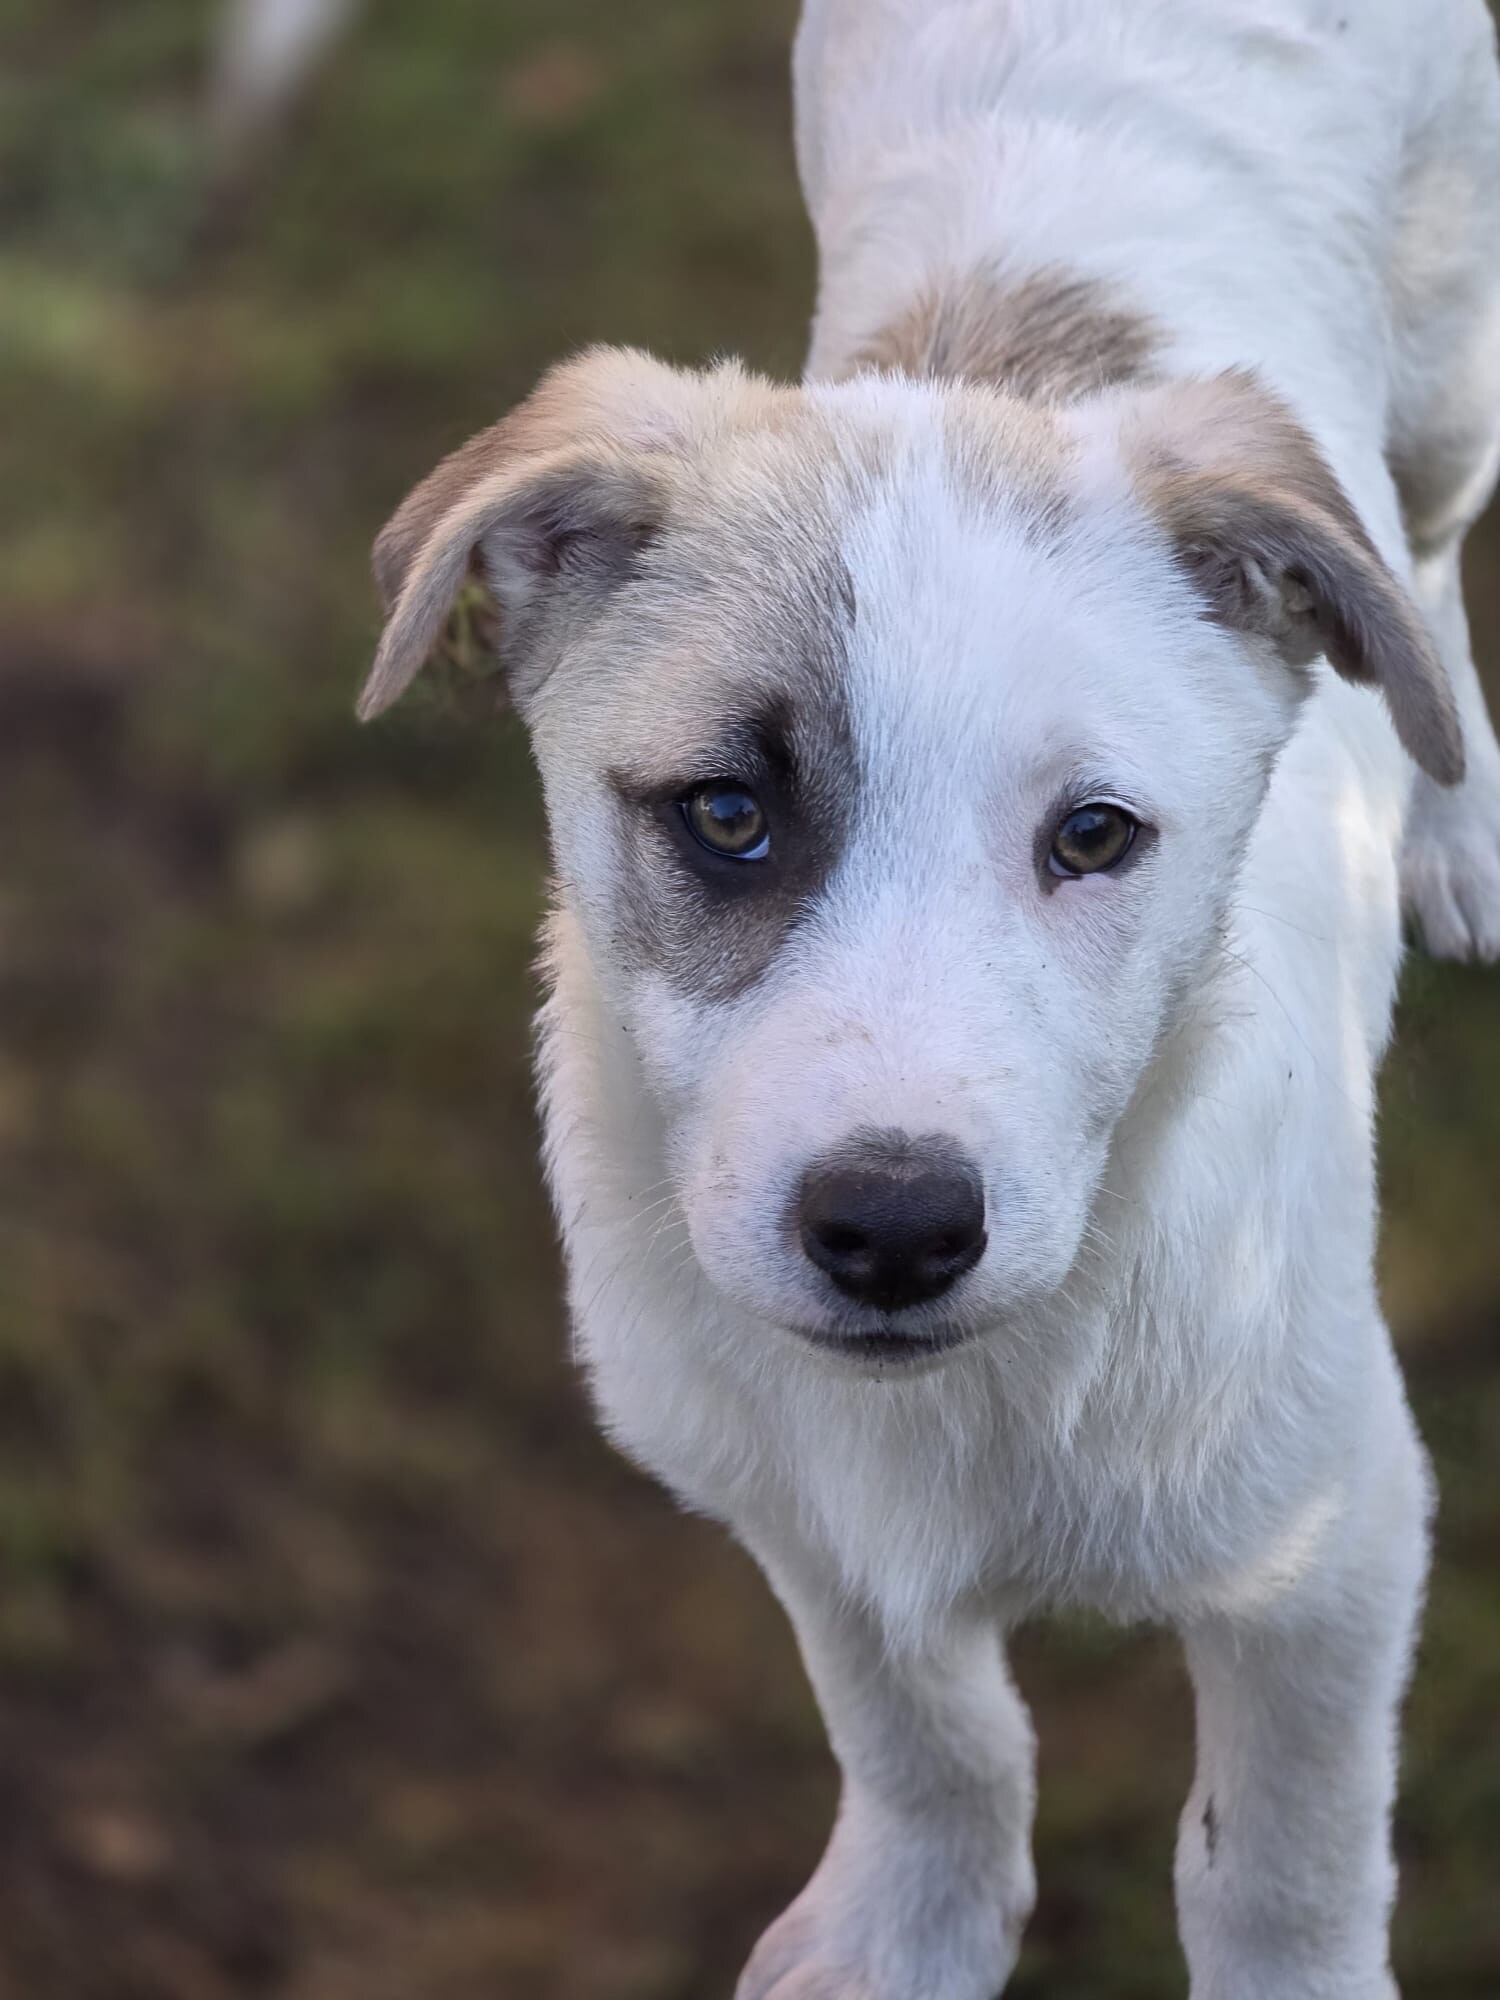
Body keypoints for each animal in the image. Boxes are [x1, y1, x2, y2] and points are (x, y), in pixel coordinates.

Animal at [358, 3, 1500, 1992]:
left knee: (1425, 564)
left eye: (1096, 836)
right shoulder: (791, 1496)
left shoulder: (1329, 1540)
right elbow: (923, 1727)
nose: (892, 1229)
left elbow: (1280, 1864)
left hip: (1446, 368)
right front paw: (911, 1928)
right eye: (727, 814)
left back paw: (1452, 818)